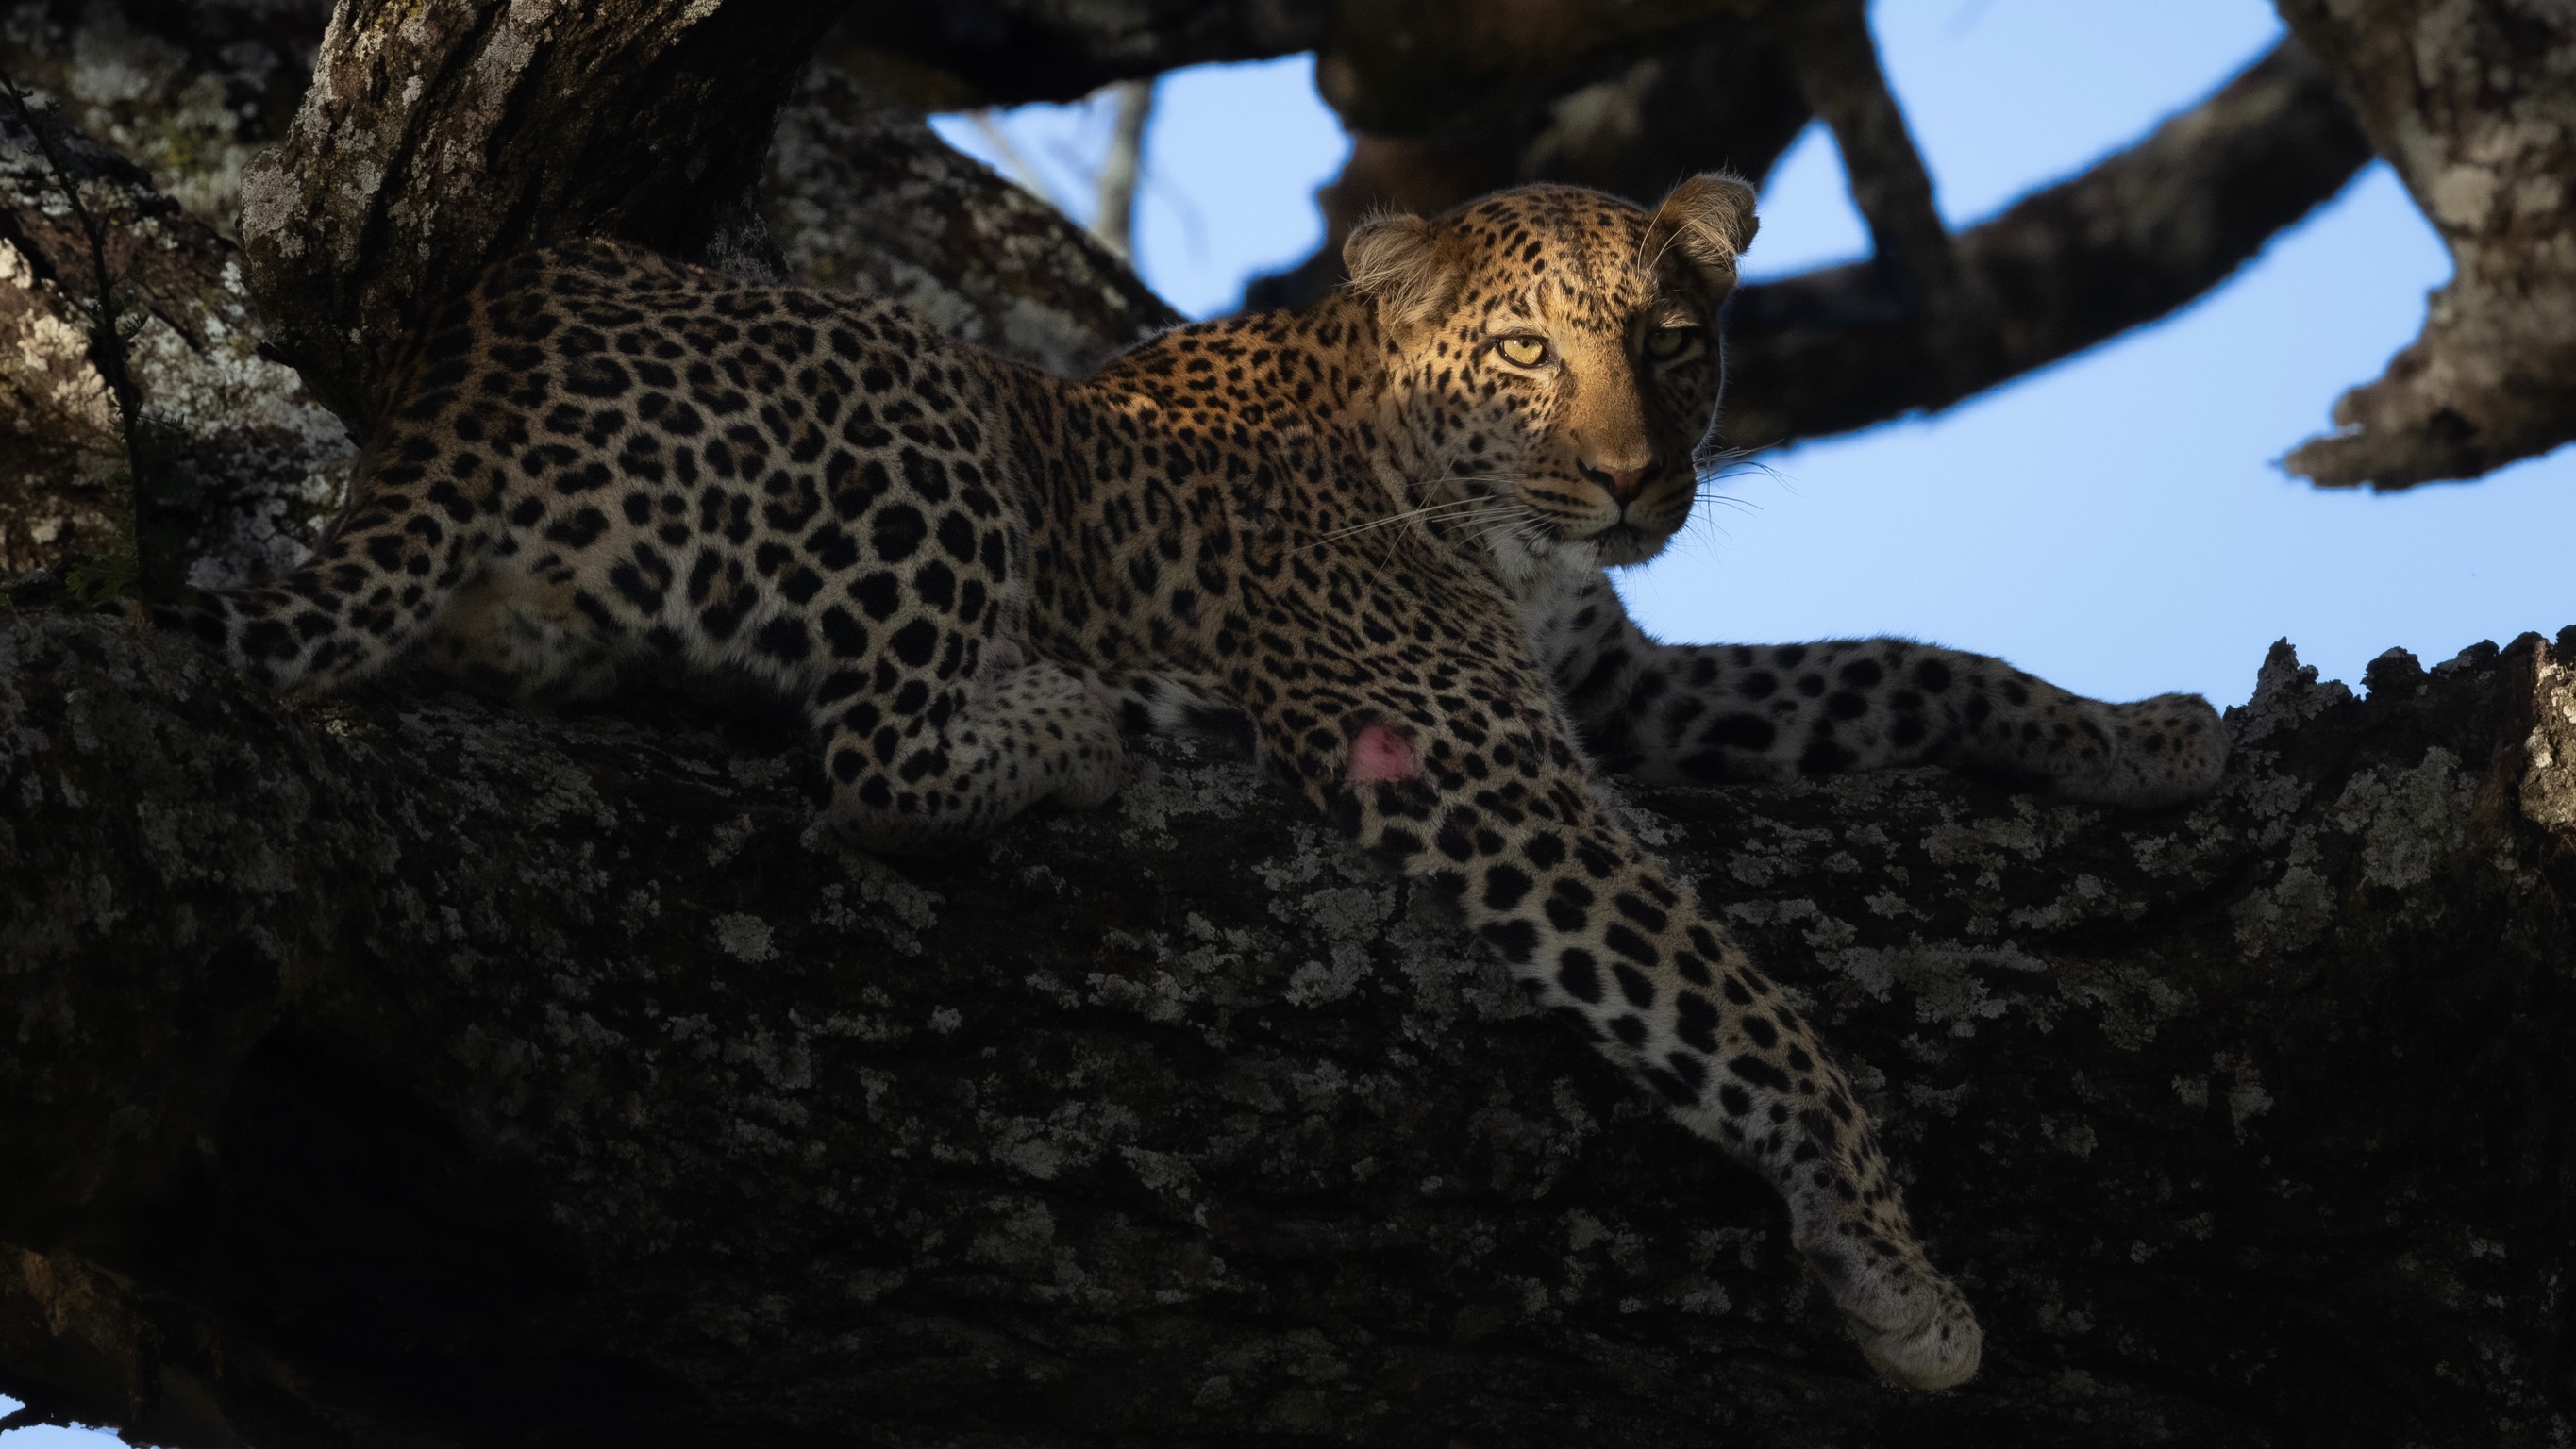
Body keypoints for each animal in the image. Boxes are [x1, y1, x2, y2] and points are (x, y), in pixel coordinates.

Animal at [162, 173, 2228, 1391]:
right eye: (1528, 347)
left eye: (1668, 338)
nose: (1638, 480)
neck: (1491, 514)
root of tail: (453, 395)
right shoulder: (1475, 753)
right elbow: (1738, 1004)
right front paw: (1898, 1275)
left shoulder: (1618, 690)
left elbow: (1906, 664)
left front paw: (2140, 736)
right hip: (933, 400)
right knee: (867, 761)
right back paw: (1073, 724)